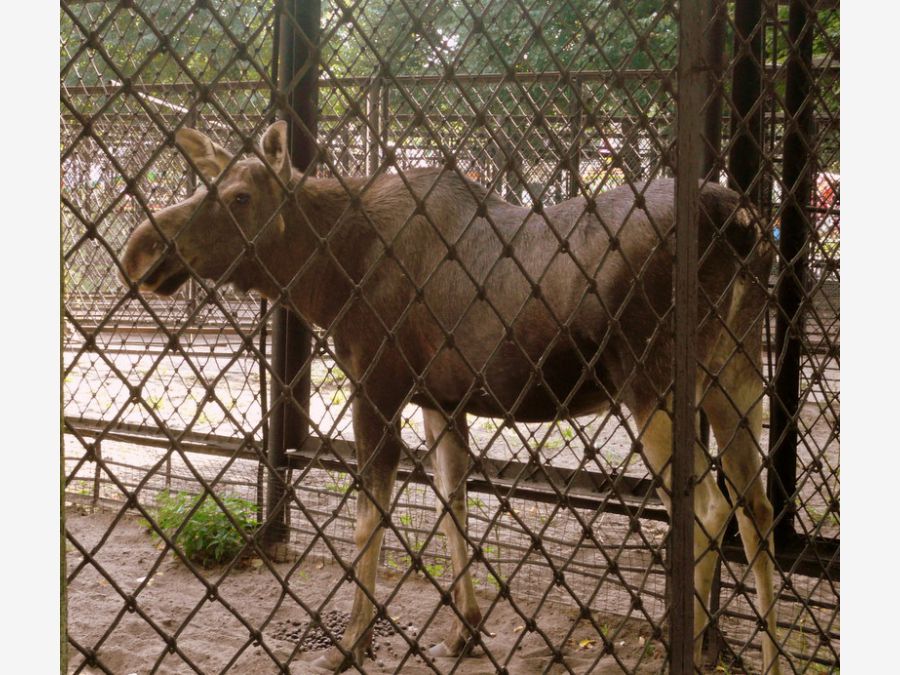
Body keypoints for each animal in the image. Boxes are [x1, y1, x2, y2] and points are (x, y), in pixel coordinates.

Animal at [119, 121, 780, 675]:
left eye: (239, 197)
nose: (139, 249)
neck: (326, 279)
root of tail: (742, 221)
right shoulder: (442, 399)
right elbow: (451, 502)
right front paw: (465, 631)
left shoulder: (376, 382)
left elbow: (370, 519)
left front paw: (350, 644)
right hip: (737, 370)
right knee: (757, 506)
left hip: (655, 381)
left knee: (709, 509)